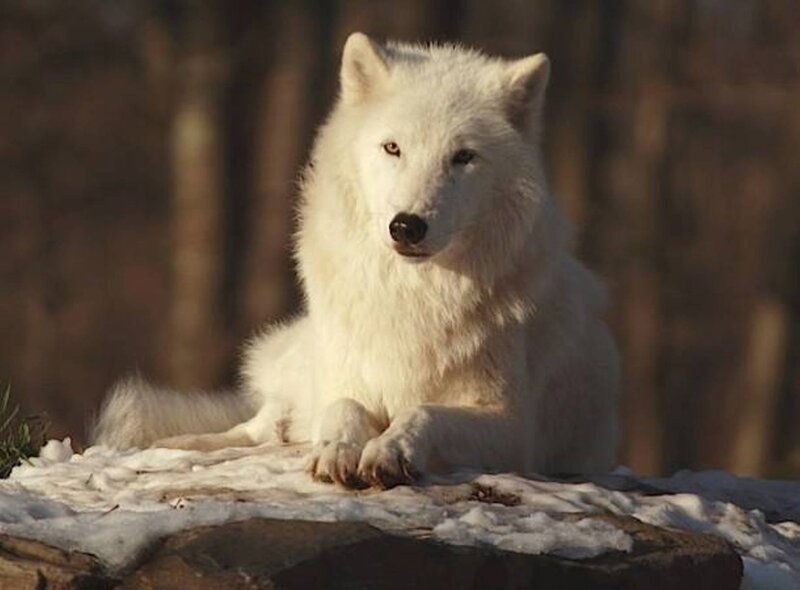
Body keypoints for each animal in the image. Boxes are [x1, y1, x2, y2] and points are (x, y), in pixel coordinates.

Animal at [93, 33, 620, 489]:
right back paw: (176, 445)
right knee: (256, 427)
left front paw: (389, 451)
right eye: (392, 148)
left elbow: (421, 413)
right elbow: (342, 407)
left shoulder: (512, 427)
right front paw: (337, 450)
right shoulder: (343, 380)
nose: (407, 226)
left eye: (463, 157)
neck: (411, 297)